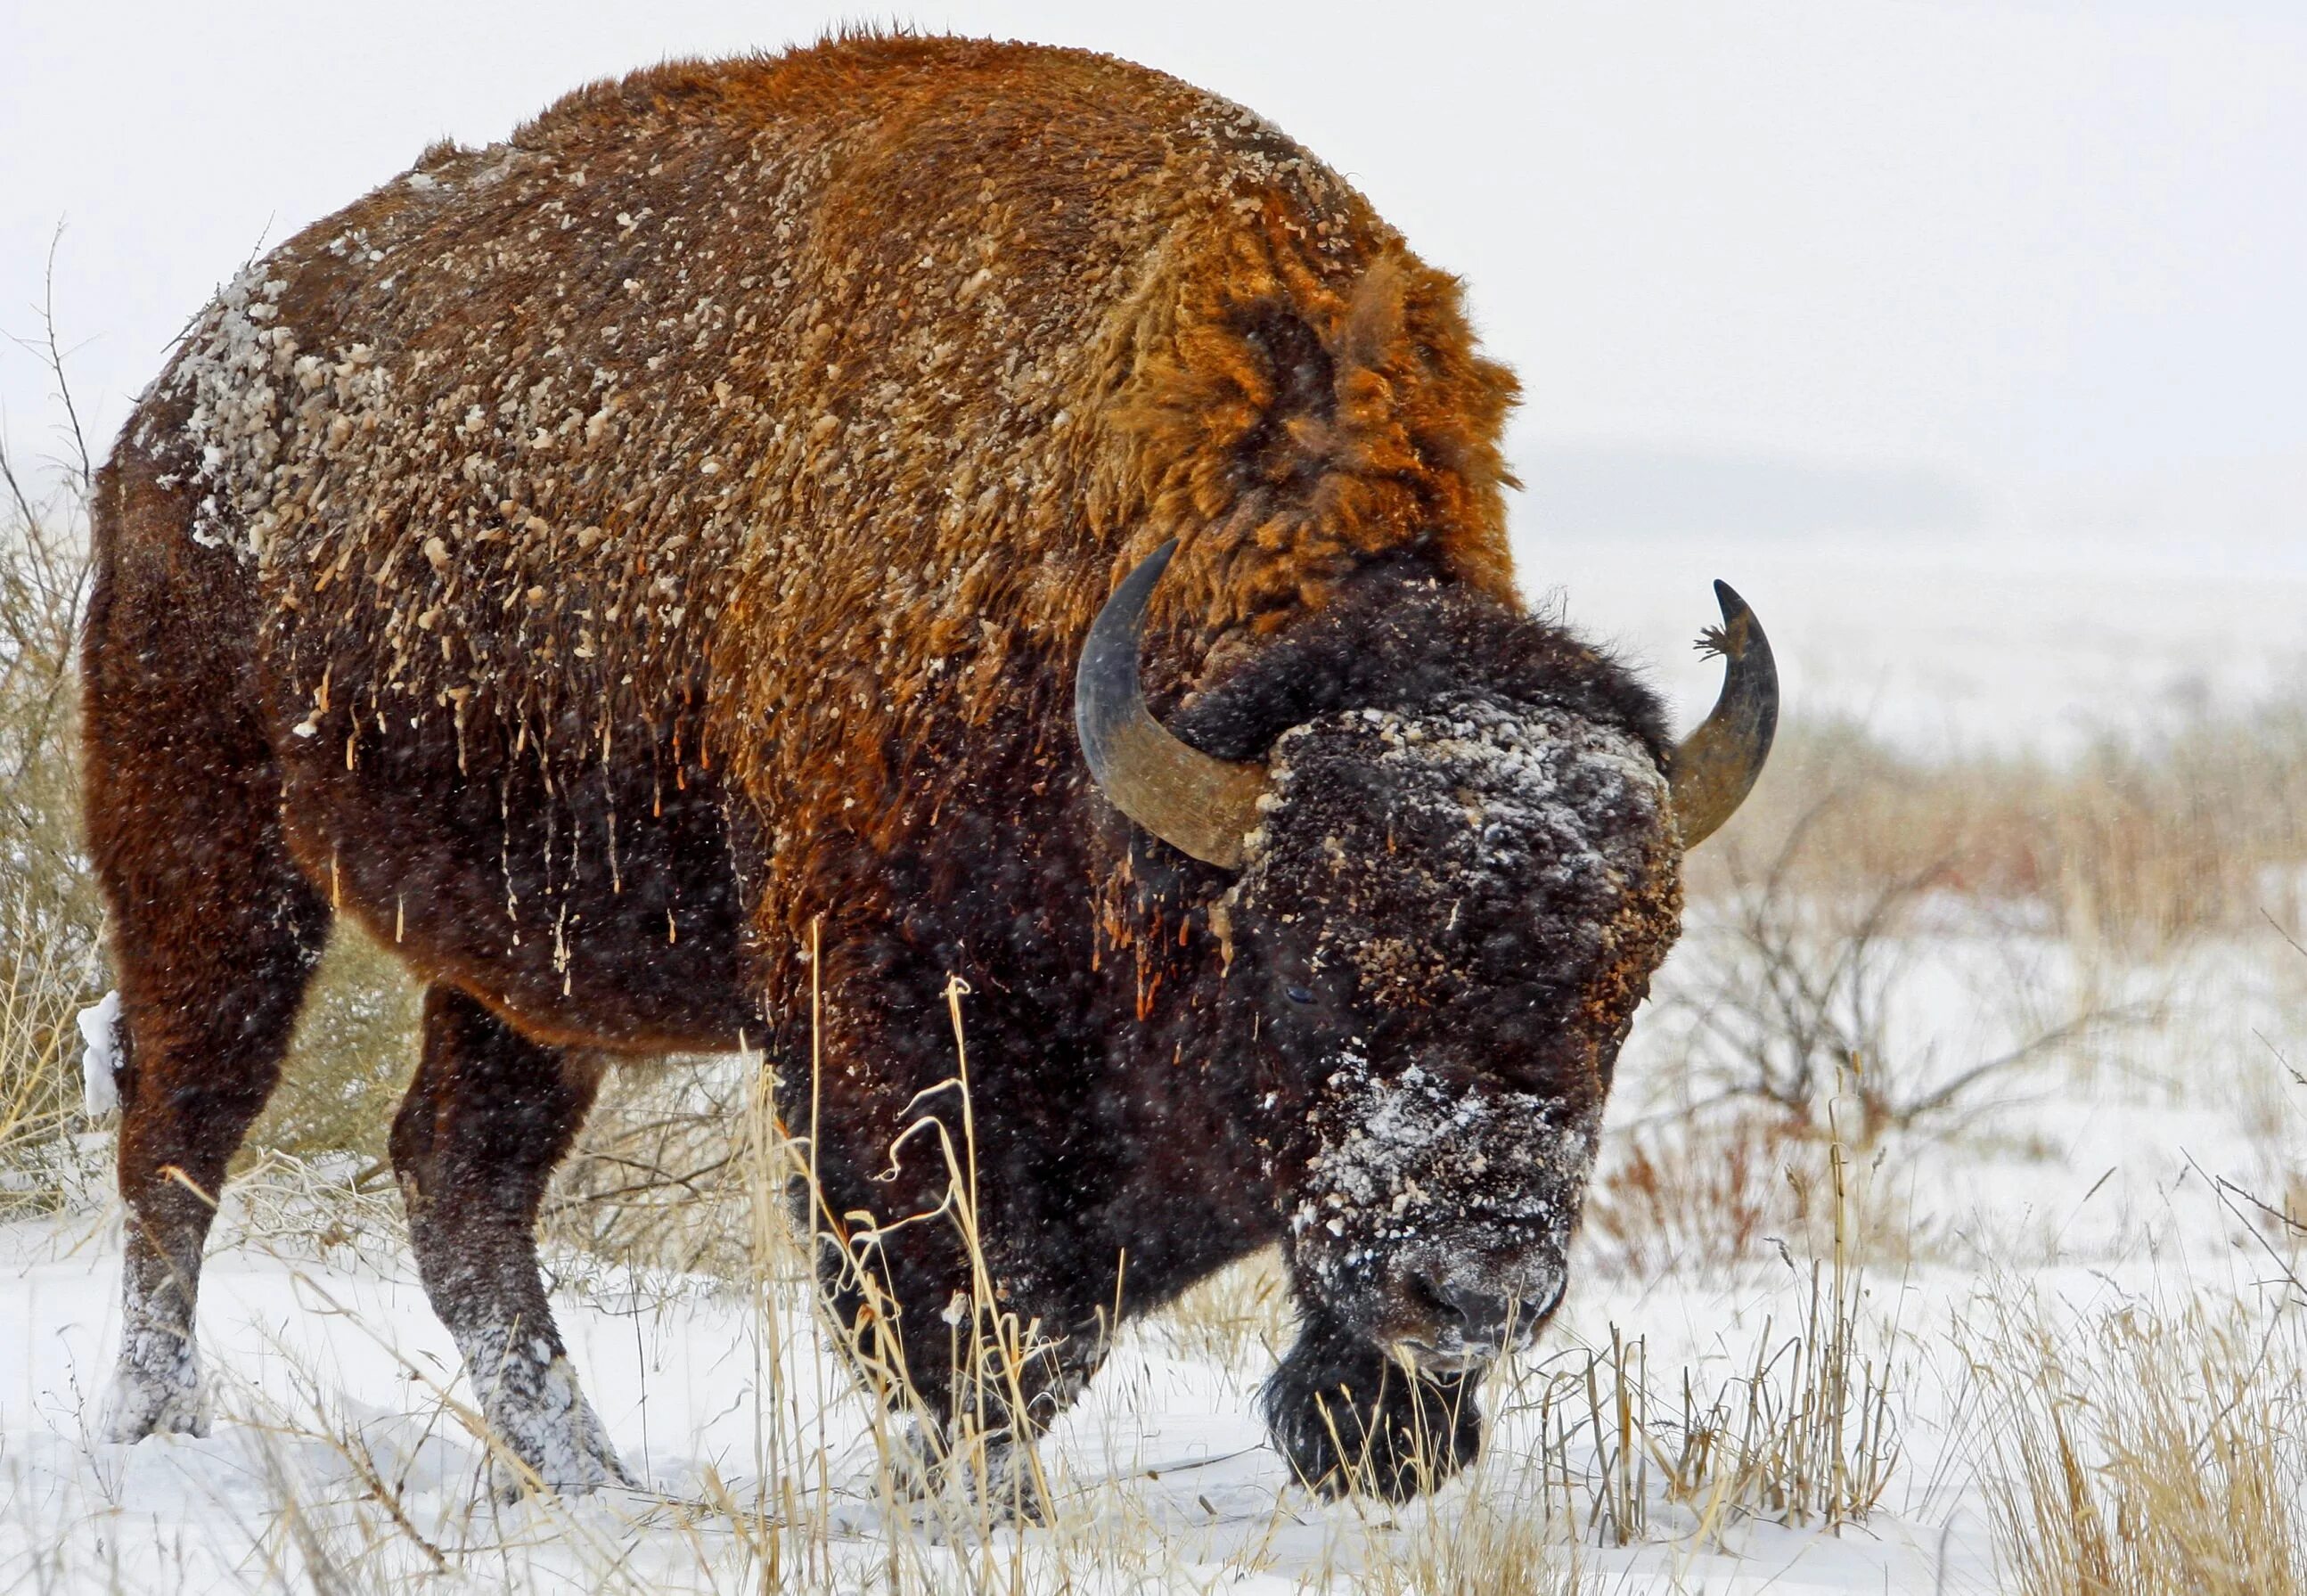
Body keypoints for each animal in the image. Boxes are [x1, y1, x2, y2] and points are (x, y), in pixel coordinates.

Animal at [81, 30, 1771, 1503]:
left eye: (1619, 993)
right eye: (1310, 968)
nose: (1473, 1286)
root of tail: (177, 403)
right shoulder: (883, 1042)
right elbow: (971, 1320)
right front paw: (971, 1503)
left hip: (524, 968)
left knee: (459, 1179)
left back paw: (588, 1476)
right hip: (210, 852)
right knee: (181, 1130)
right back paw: (161, 1425)